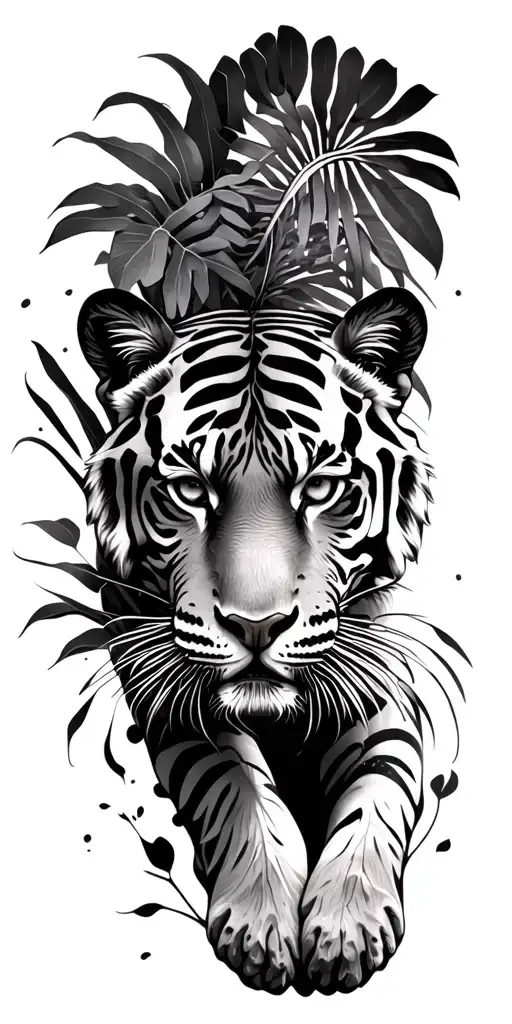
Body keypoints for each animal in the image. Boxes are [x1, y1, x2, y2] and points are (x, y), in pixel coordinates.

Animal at [78, 283, 460, 995]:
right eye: (189, 488)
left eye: (322, 486)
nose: (256, 626)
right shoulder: (176, 697)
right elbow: (235, 785)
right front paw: (259, 923)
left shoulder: (379, 693)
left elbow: (378, 790)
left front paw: (347, 927)